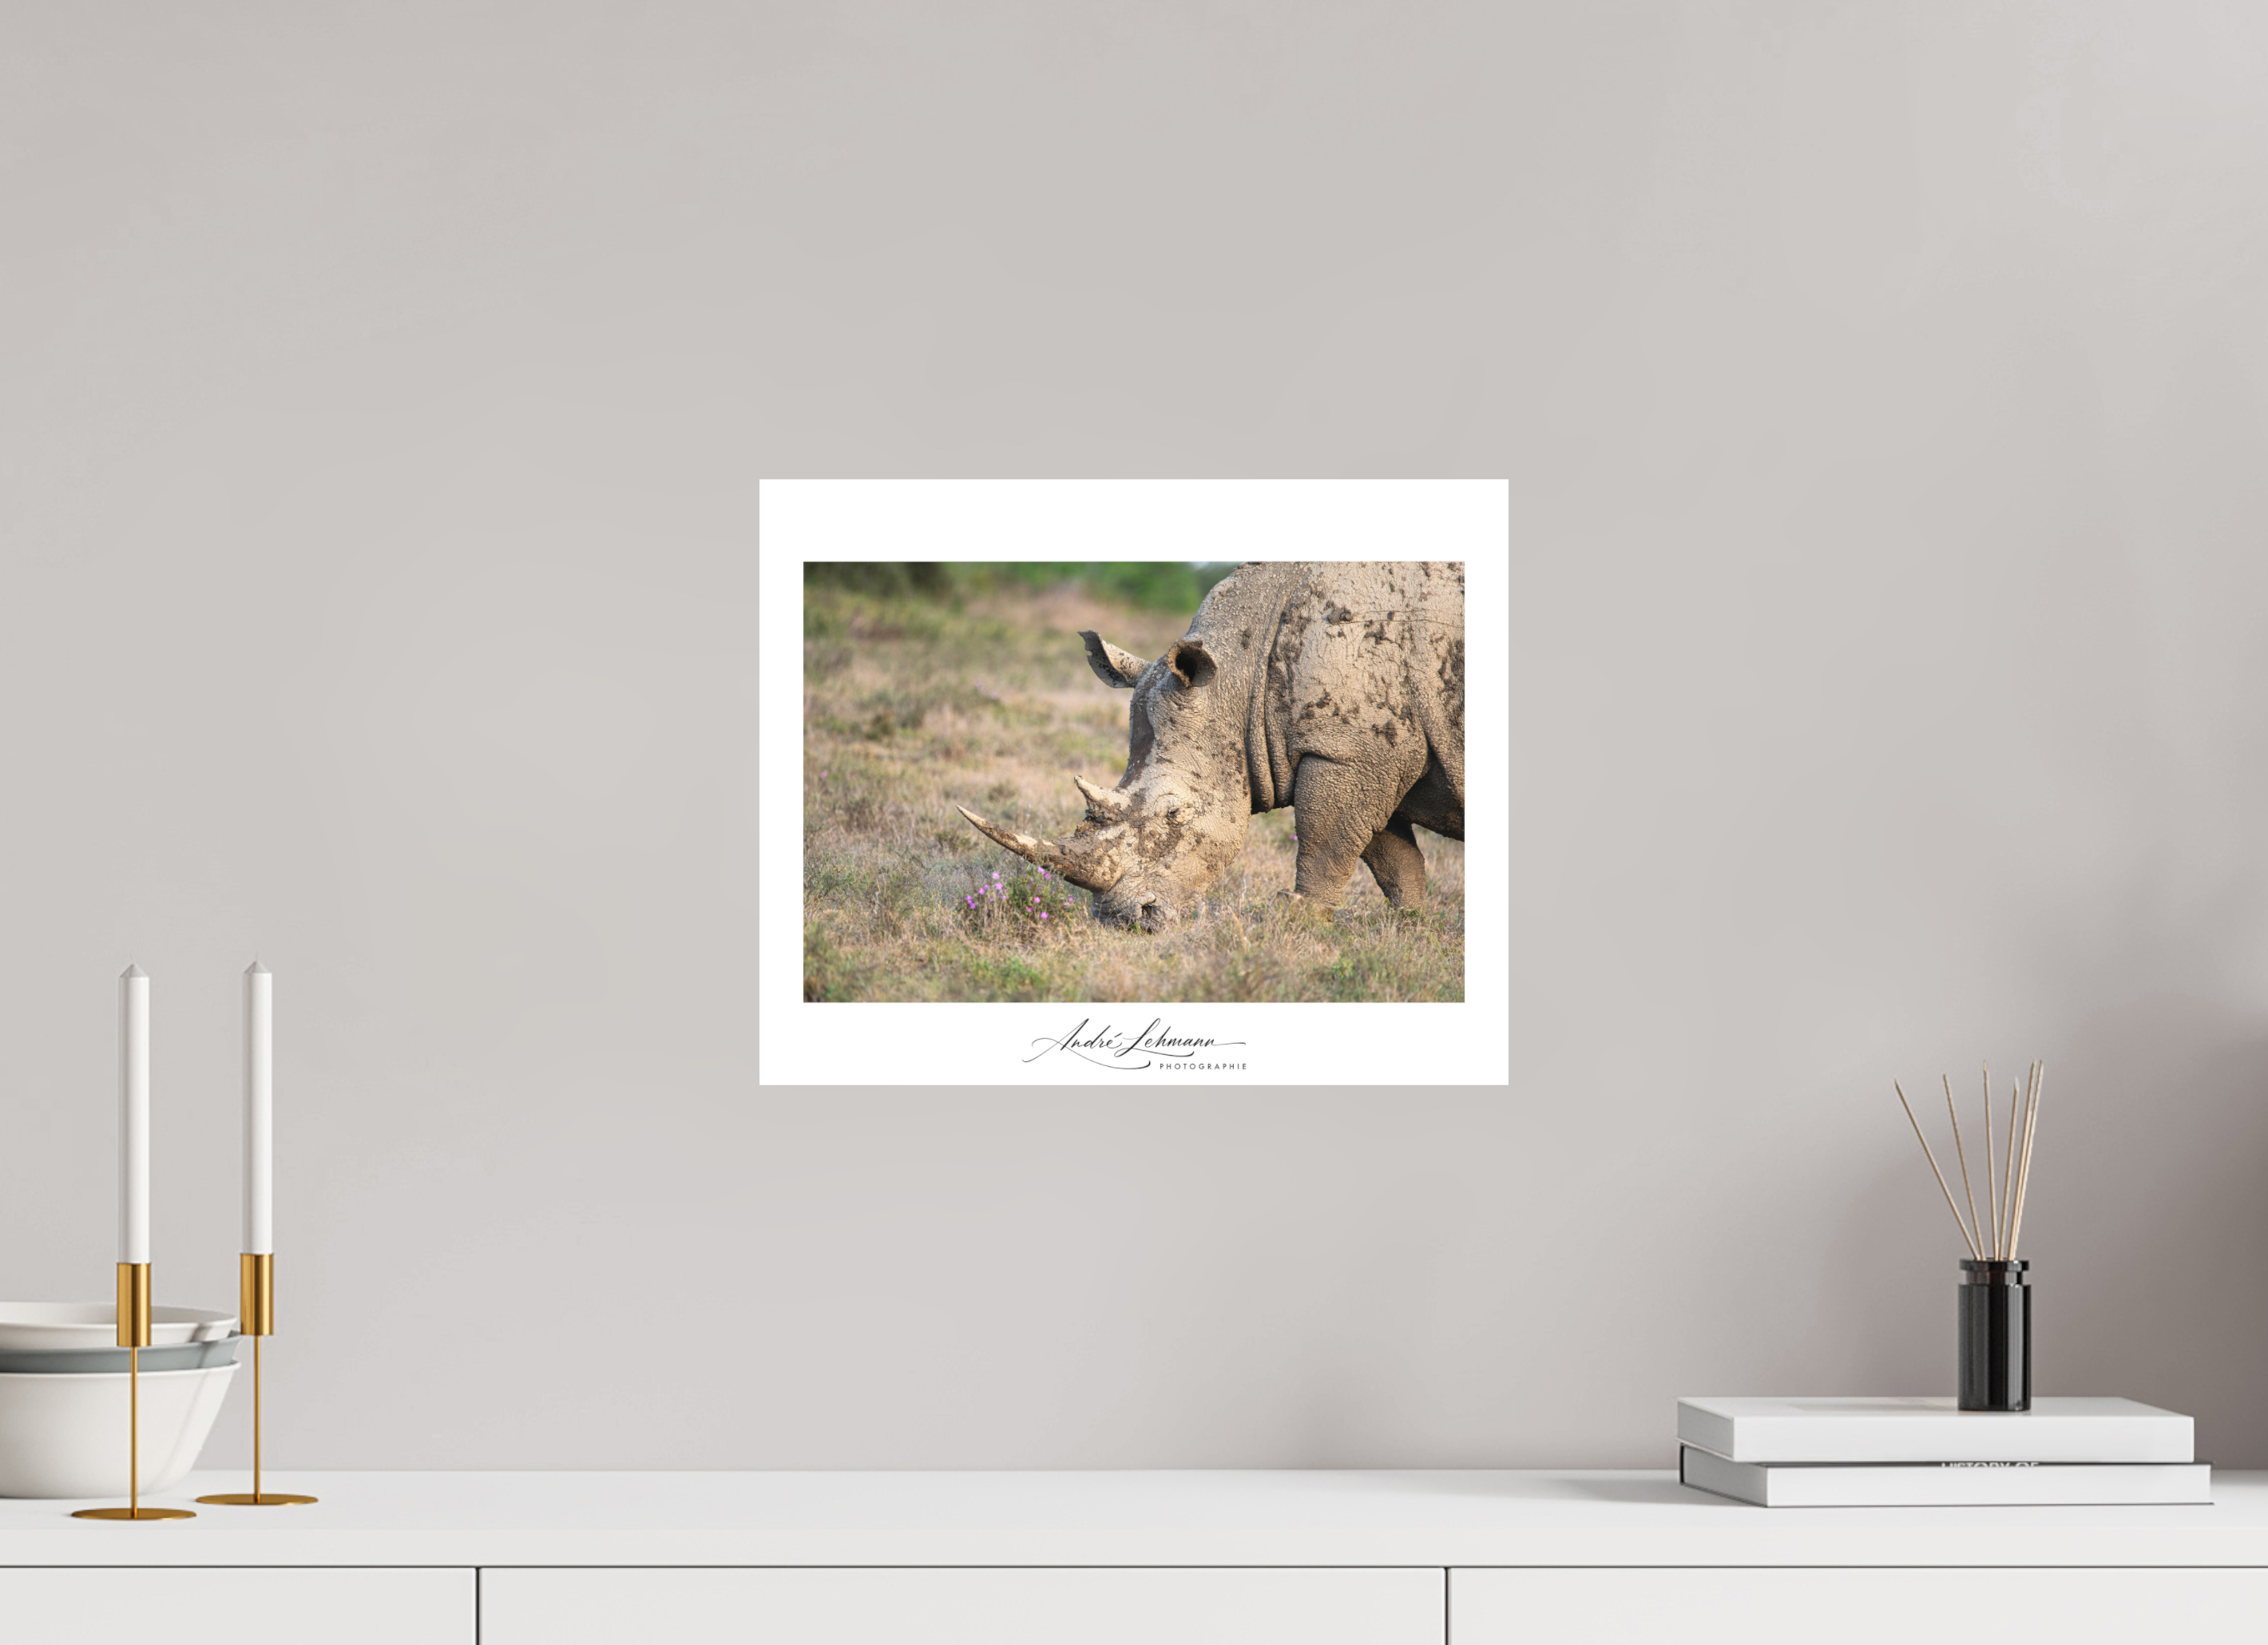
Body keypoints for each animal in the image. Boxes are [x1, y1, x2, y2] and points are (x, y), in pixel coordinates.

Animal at [958, 561, 1464, 929]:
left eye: (1174, 814)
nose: (1127, 921)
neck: (1242, 679)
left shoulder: (1348, 751)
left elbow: (1327, 839)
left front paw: (1299, 920)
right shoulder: (1368, 753)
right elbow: (1391, 856)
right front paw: (1412, 927)